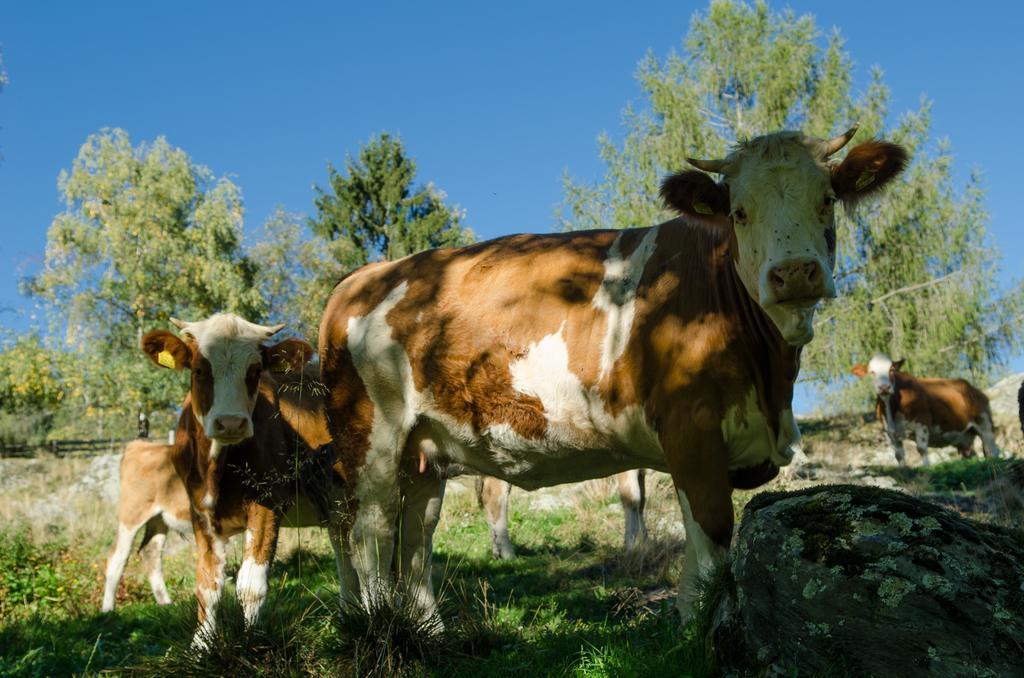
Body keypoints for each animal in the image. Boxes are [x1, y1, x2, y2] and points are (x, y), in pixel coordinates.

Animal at [140, 315, 337, 651]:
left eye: (255, 371)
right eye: (199, 369)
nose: (231, 423)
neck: (214, 470)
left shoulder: (269, 501)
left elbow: (250, 585)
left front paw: (252, 643)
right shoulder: (199, 511)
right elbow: (207, 584)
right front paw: (202, 647)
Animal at [847, 352, 999, 464]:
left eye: (891, 369)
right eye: (871, 372)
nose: (884, 387)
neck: (892, 409)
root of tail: (972, 388)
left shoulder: (922, 422)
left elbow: (921, 449)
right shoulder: (888, 432)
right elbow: (898, 455)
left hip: (985, 423)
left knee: (991, 449)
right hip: (964, 436)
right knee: (971, 453)